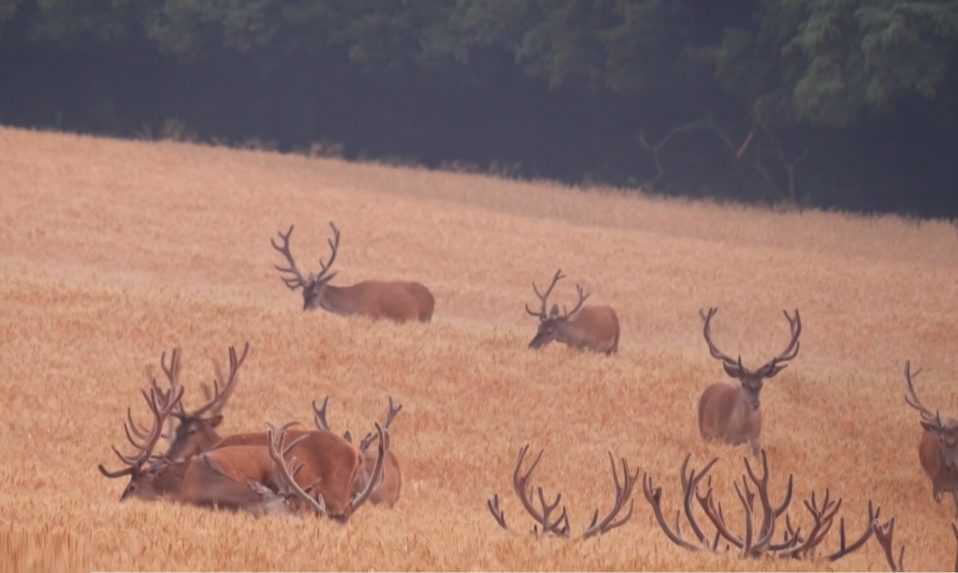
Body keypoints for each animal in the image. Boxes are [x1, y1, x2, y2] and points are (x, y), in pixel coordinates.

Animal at [270, 221, 436, 322]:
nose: (306, 312)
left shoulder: (371, 316)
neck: (352, 305)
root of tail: (431, 297)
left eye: (315, 293)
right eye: (303, 293)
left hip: (424, 318)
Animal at [696, 306, 804, 454]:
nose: (755, 404)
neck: (741, 431)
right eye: (743, 383)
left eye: (761, 384)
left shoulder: (756, 441)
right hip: (705, 433)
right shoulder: (721, 438)